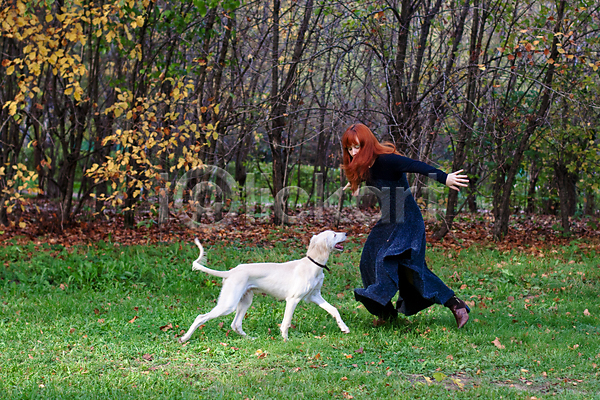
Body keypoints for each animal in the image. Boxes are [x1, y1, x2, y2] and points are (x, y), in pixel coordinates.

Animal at [178, 230, 350, 342]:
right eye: (334, 235)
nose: (347, 233)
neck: (313, 264)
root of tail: (231, 271)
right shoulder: (293, 299)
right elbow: (286, 322)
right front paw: (286, 340)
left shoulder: (314, 296)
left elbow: (334, 309)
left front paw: (344, 328)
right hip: (228, 304)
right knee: (201, 317)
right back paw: (184, 338)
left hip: (245, 300)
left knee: (236, 324)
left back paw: (250, 338)